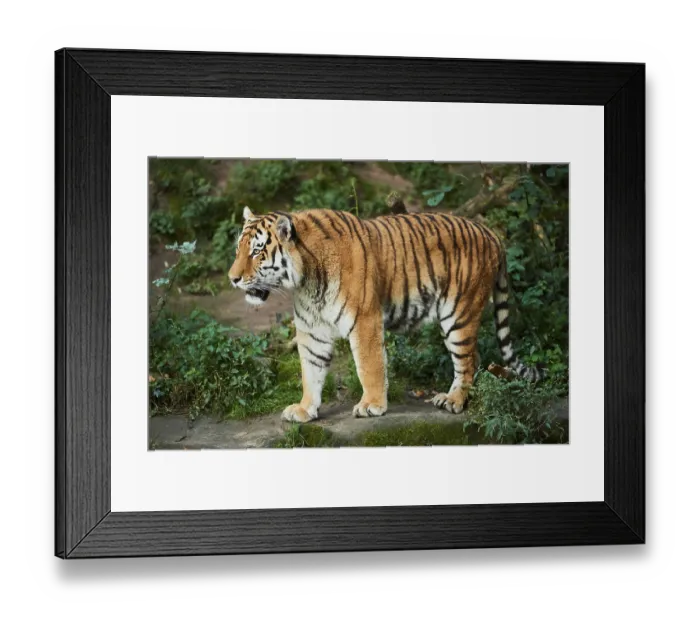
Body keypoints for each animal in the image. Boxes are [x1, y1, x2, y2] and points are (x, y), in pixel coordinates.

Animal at [228, 206, 545, 423]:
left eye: (257, 251)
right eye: (238, 250)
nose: (232, 279)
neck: (305, 281)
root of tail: (491, 233)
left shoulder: (364, 320)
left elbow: (369, 366)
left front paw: (372, 405)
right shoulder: (312, 330)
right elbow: (311, 371)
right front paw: (305, 409)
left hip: (459, 314)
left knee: (470, 360)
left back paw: (454, 400)